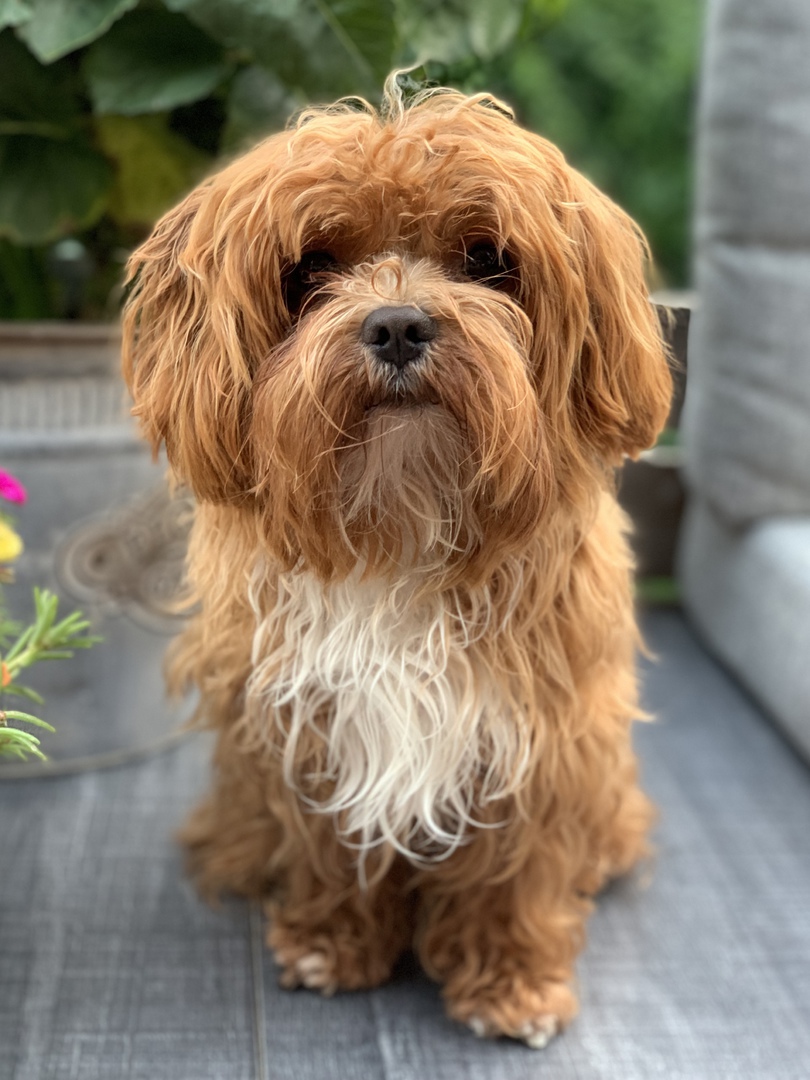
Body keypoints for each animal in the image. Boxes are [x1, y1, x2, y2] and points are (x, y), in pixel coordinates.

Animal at [121, 80, 672, 1049]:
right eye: (310, 270)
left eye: (489, 260)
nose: (399, 322)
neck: (401, 532)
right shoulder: (300, 725)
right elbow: (329, 848)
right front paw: (330, 941)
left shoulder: (541, 732)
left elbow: (515, 867)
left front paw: (511, 981)